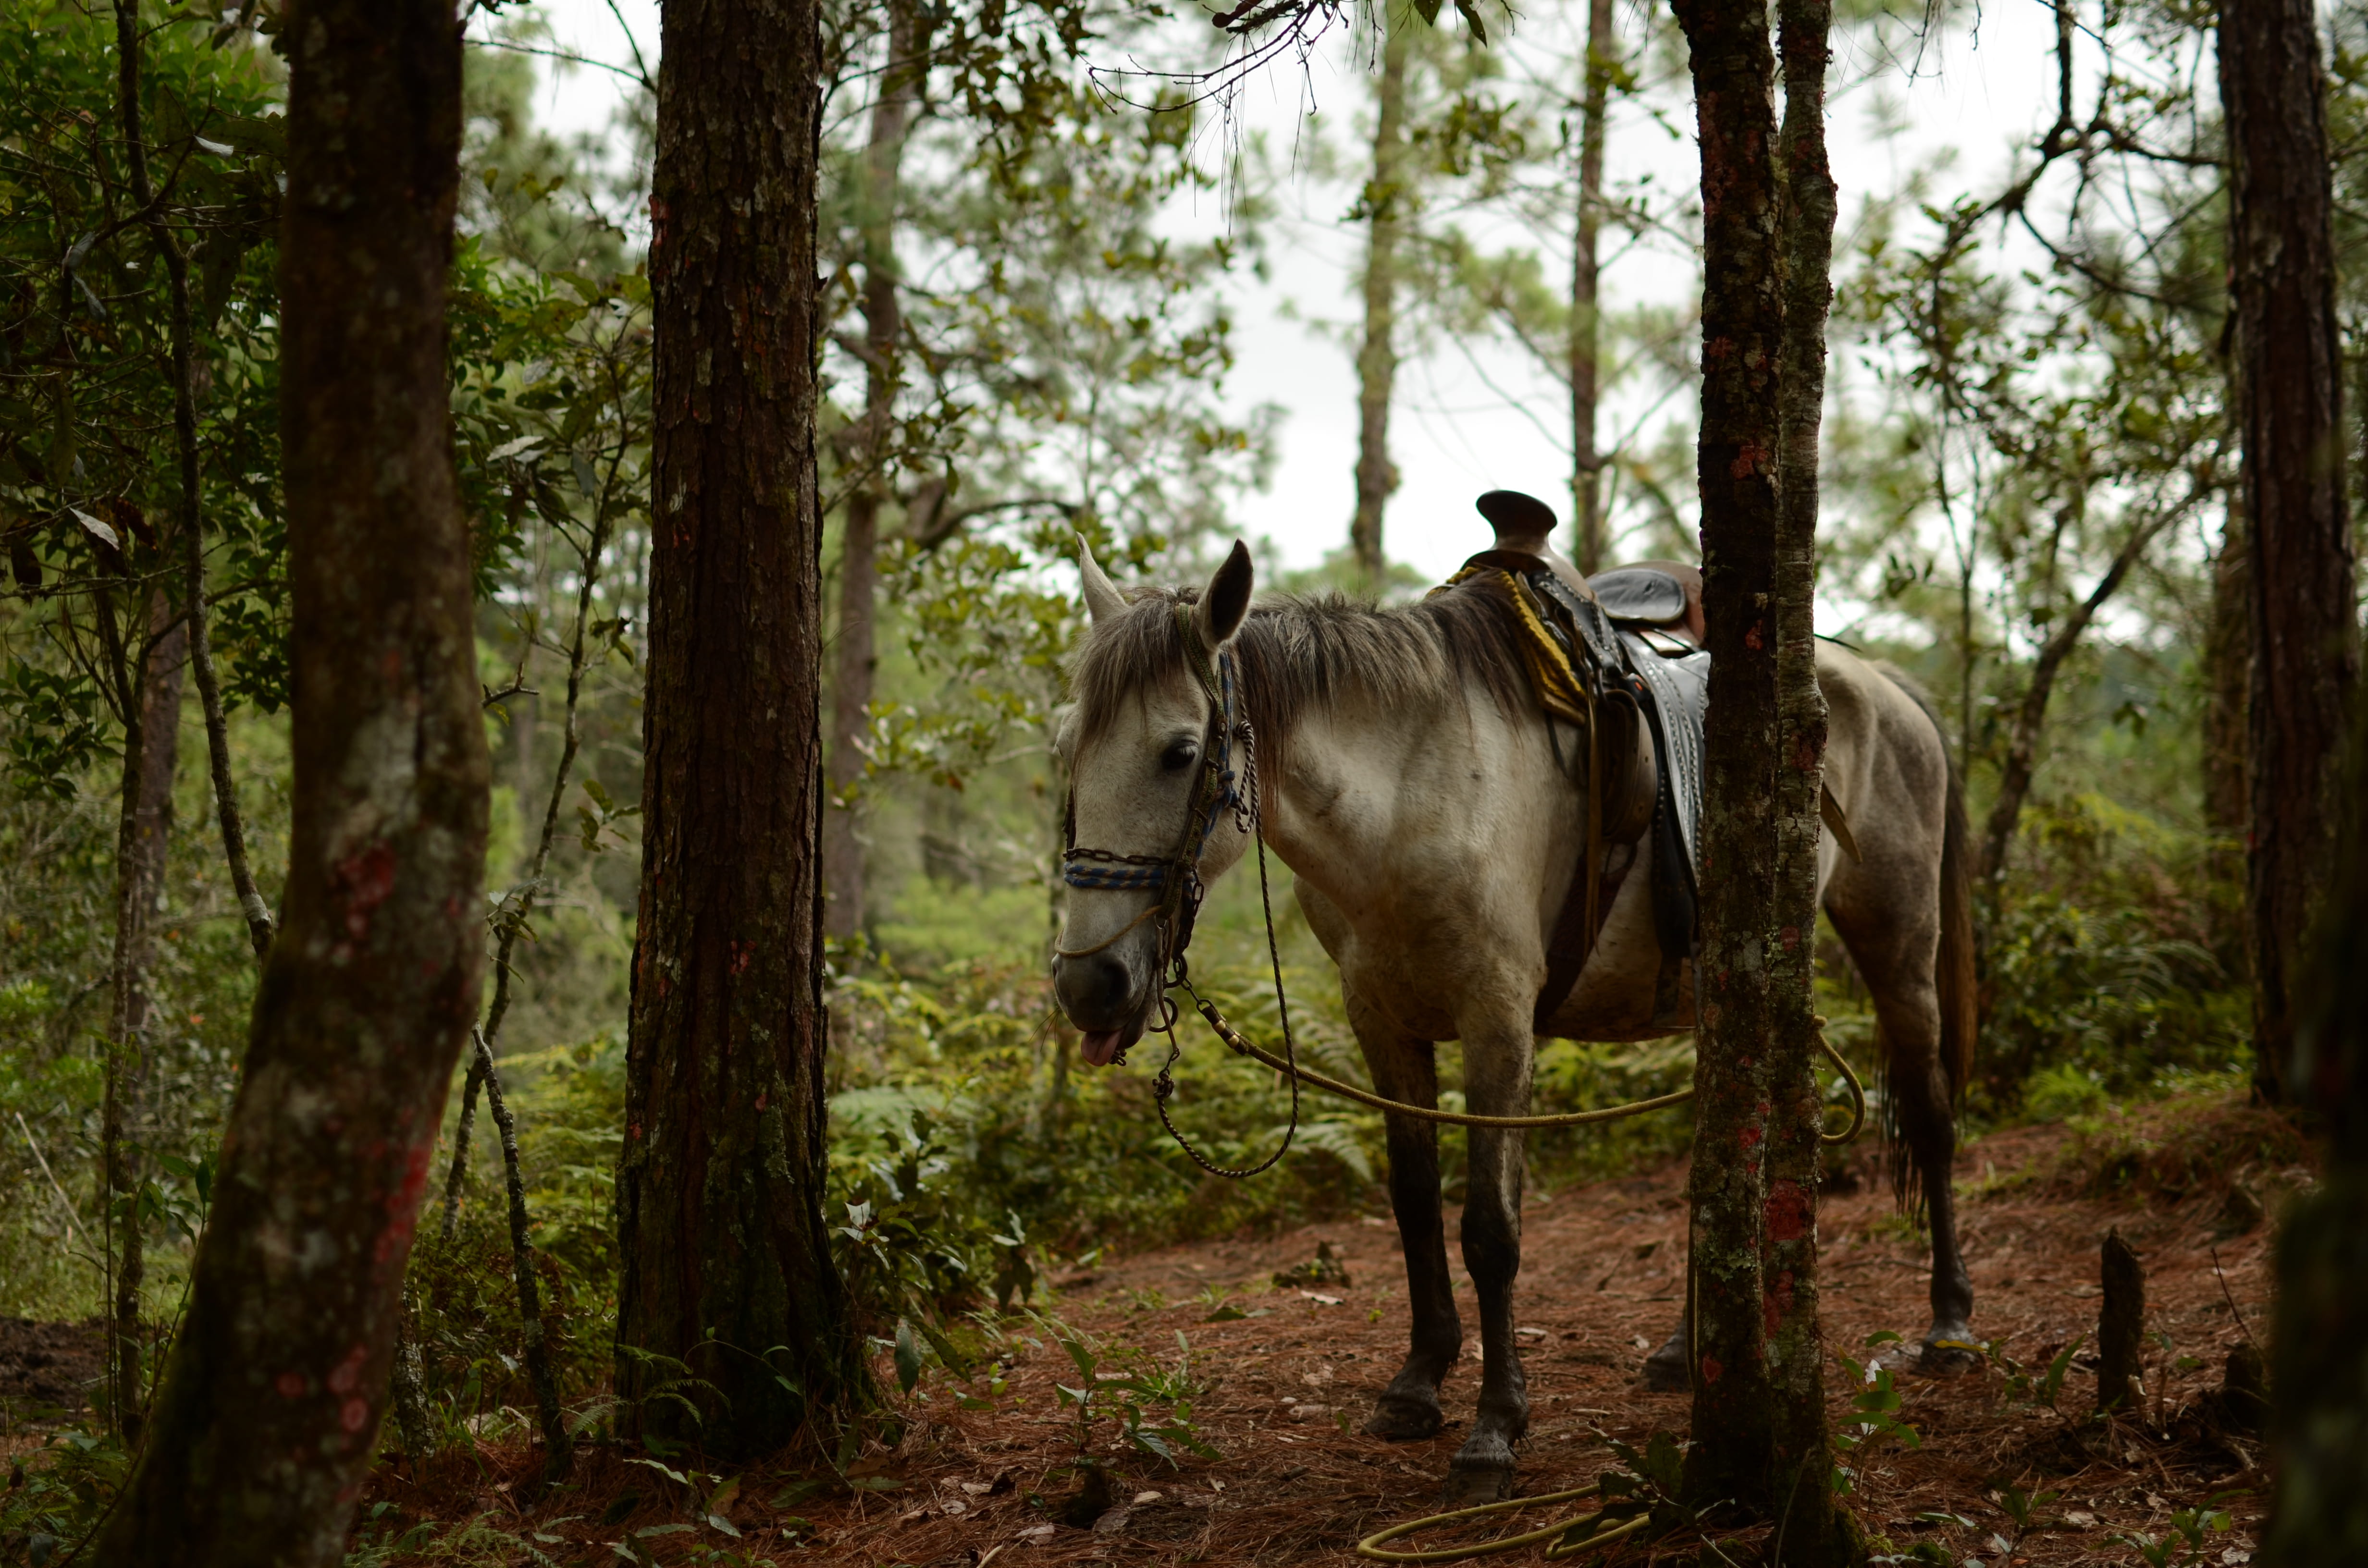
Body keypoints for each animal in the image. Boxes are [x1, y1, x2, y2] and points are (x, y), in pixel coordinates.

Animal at [1049, 535, 1977, 1502]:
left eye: (1179, 751)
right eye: (1068, 750)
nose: (1089, 984)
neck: (1410, 797)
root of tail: (1879, 681)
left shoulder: (1497, 1019)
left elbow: (1490, 1229)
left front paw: (1495, 1425)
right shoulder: (1381, 1022)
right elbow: (1415, 1203)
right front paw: (1418, 1383)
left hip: (1899, 946)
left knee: (1931, 1116)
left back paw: (1949, 1323)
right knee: (1723, 1161)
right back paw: (1687, 1352)